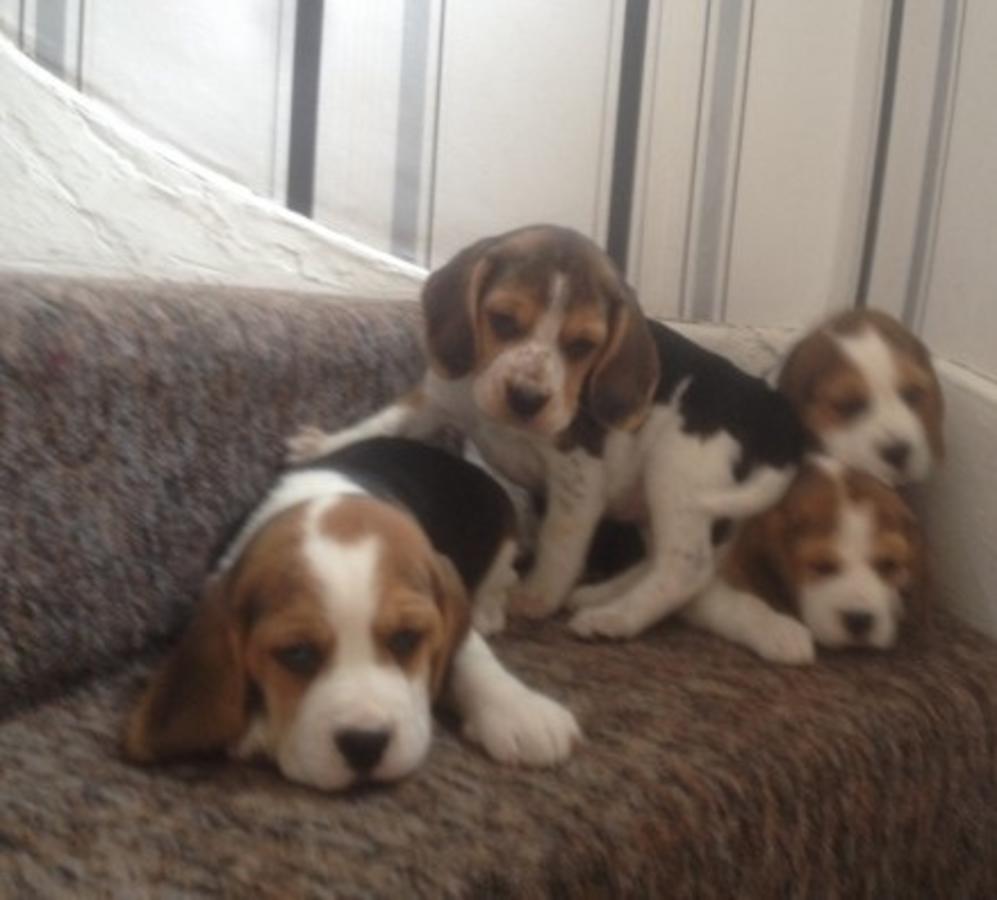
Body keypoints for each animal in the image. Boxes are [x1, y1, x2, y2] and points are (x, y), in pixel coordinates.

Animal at [125, 440, 580, 792]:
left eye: (407, 638)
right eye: (297, 653)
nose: (365, 744)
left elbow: (470, 654)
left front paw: (519, 710)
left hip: (501, 535)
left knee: (499, 579)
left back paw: (487, 610)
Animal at [292, 229, 804, 644]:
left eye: (582, 345)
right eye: (502, 320)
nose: (526, 397)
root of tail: (775, 420)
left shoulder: (578, 472)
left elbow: (562, 539)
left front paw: (537, 596)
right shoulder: (436, 398)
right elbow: (381, 422)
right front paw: (320, 444)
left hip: (680, 470)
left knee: (687, 565)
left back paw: (614, 618)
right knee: (662, 556)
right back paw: (601, 594)